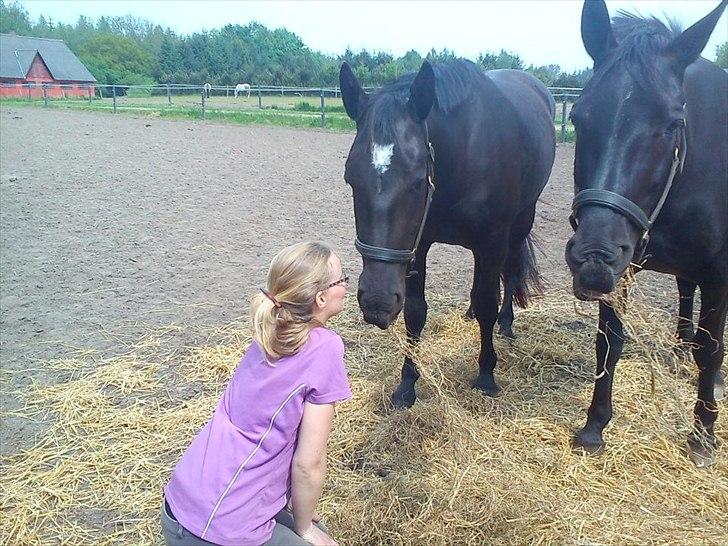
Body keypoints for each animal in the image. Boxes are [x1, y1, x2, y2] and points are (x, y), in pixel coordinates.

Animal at [338, 60, 556, 404]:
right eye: (351, 179)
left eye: (417, 181)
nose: (376, 302)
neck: (466, 151)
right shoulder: (419, 243)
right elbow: (416, 312)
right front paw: (407, 384)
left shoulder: (493, 240)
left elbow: (488, 302)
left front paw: (486, 375)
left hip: (521, 221)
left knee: (508, 273)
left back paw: (506, 323)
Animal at [568, 0, 728, 464]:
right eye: (579, 117)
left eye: (673, 124)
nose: (594, 256)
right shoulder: (622, 268)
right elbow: (609, 341)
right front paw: (595, 426)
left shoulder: (720, 274)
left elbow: (711, 349)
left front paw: (703, 434)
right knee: (684, 291)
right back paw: (678, 349)